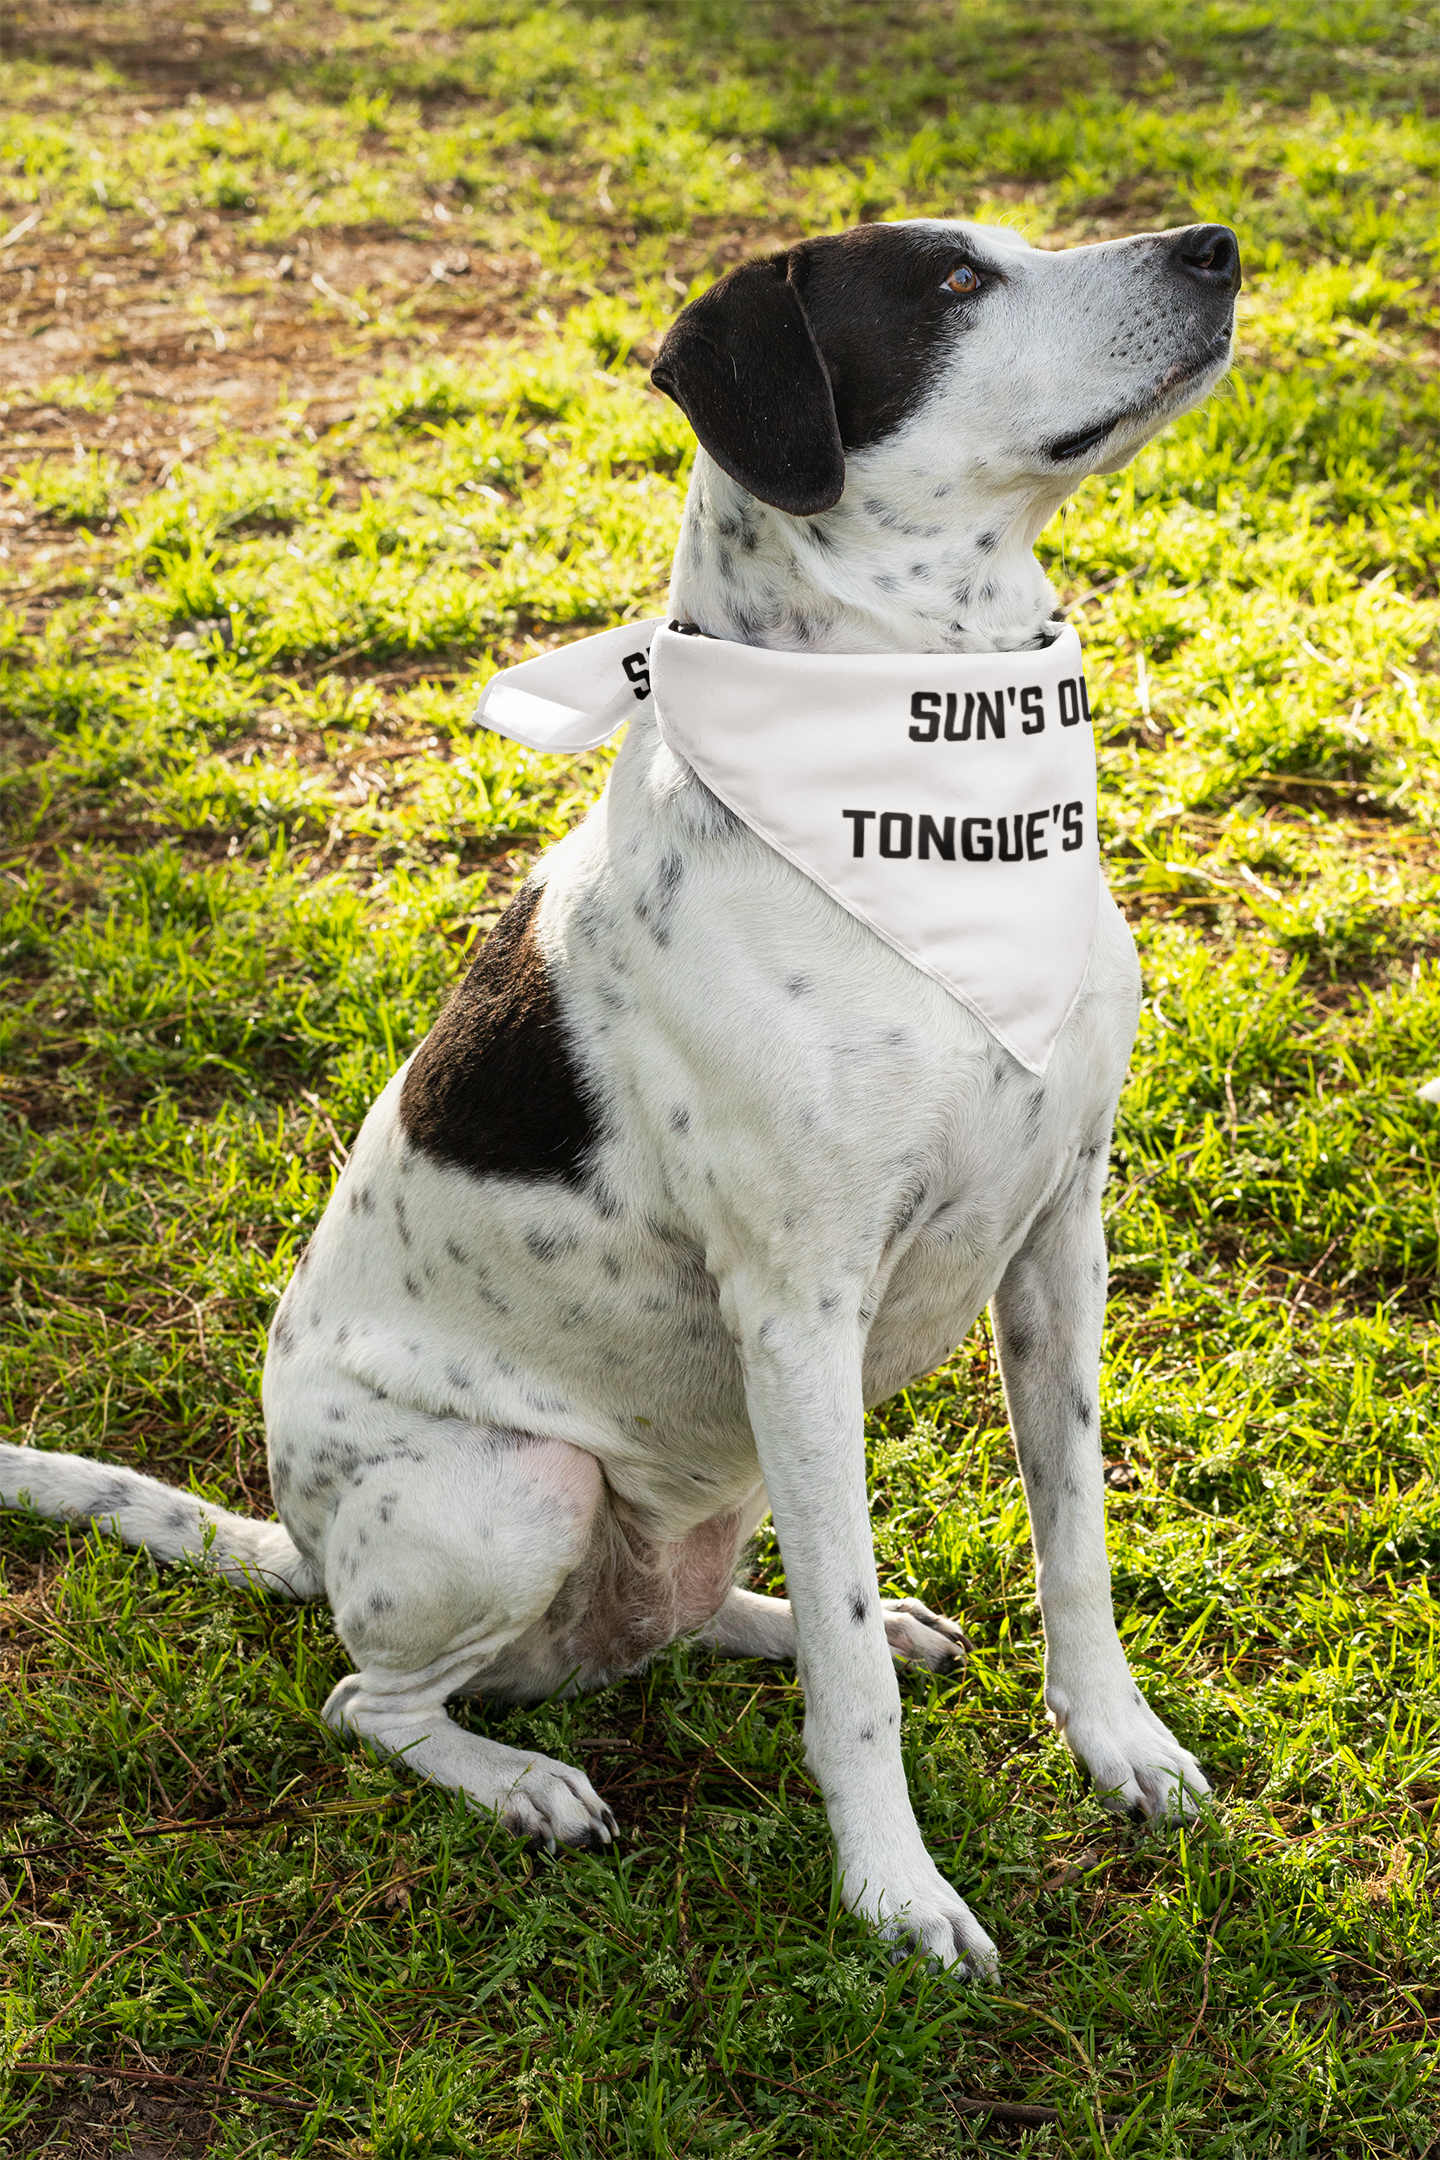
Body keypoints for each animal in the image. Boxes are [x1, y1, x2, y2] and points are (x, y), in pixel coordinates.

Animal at [0, 219, 1243, 1978]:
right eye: (949, 286)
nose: (1213, 247)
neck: (927, 767)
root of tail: (300, 1547)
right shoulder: (798, 1309)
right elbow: (850, 1698)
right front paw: (894, 1894)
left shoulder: (1059, 1233)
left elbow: (1075, 1545)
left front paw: (1118, 1746)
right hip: (518, 1491)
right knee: (372, 1700)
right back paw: (519, 1781)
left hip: (703, 1486)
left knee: (696, 1609)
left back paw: (806, 1624)